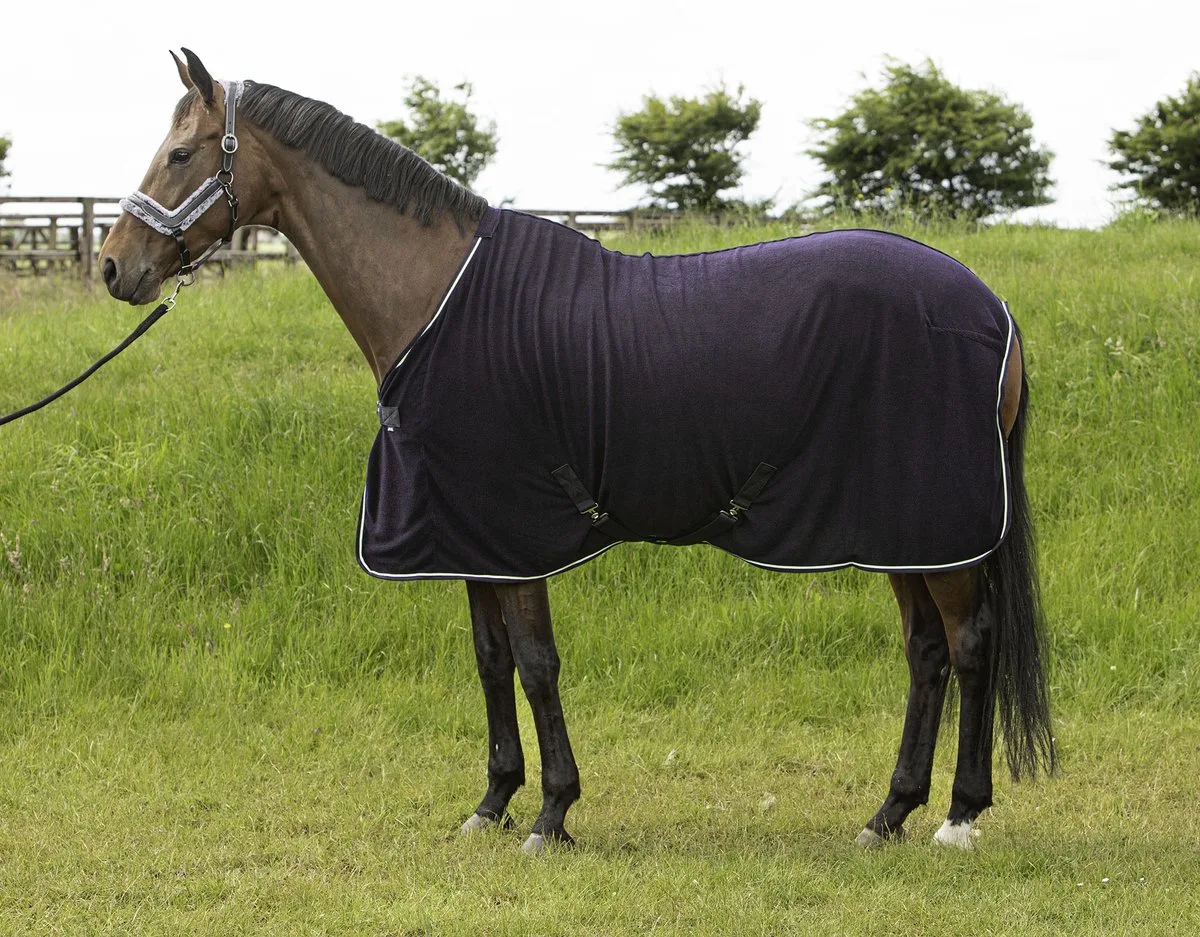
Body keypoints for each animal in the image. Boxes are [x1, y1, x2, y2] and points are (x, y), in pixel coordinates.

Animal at [98, 49, 1055, 855]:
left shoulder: (516, 535)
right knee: (927, 653)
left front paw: (552, 812)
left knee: (969, 643)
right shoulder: (471, 534)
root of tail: (994, 308)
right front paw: (491, 802)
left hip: (934, 526)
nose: (113, 267)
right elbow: (491, 662)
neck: (438, 298)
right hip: (899, 528)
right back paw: (888, 812)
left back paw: (959, 816)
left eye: (180, 155)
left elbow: (536, 664)